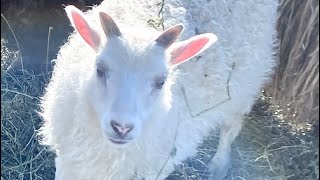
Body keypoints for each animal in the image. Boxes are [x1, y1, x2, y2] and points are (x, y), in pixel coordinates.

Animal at [38, 0, 278, 179]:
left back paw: (219, 166)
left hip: (246, 80)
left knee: (230, 126)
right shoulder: (69, 160)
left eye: (162, 81)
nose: (122, 127)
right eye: (100, 69)